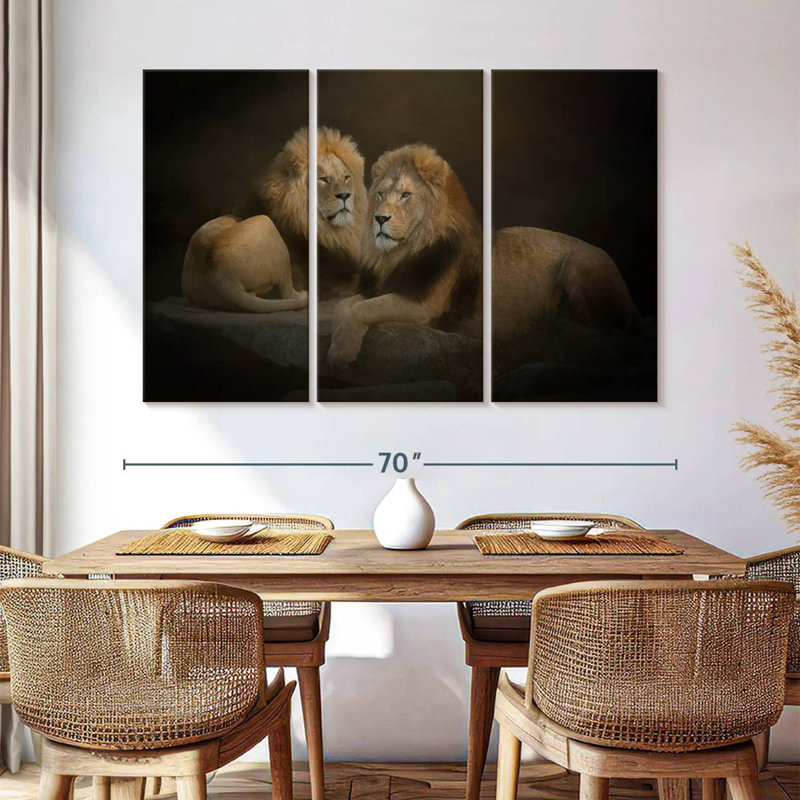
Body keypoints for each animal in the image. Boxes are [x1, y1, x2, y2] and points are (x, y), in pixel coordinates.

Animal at [327, 143, 641, 372]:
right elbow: (346, 305)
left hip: (580, 263)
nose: (379, 219)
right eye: (380, 194)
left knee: (603, 329)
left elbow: (363, 308)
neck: (399, 253)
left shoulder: (423, 307)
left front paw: (340, 355)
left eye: (406, 195)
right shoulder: (385, 288)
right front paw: (336, 344)